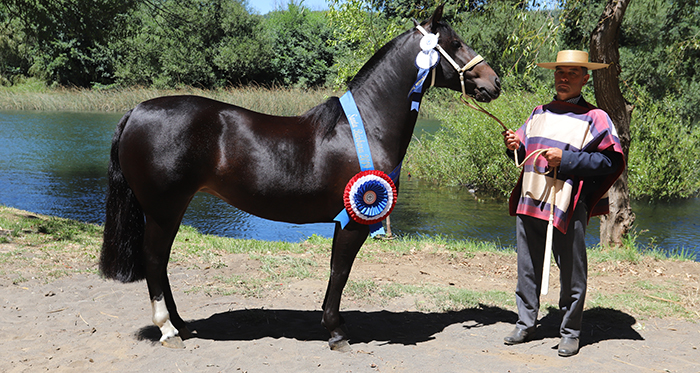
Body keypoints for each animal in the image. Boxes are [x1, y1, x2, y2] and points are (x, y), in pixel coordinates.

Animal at [101, 5, 500, 348]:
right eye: (455, 43)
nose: (494, 82)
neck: (367, 124)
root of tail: (136, 110)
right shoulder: (354, 220)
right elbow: (340, 271)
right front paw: (336, 331)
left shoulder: (345, 218)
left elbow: (336, 270)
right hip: (164, 208)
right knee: (154, 260)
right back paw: (168, 329)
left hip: (171, 209)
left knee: (162, 262)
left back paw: (182, 324)